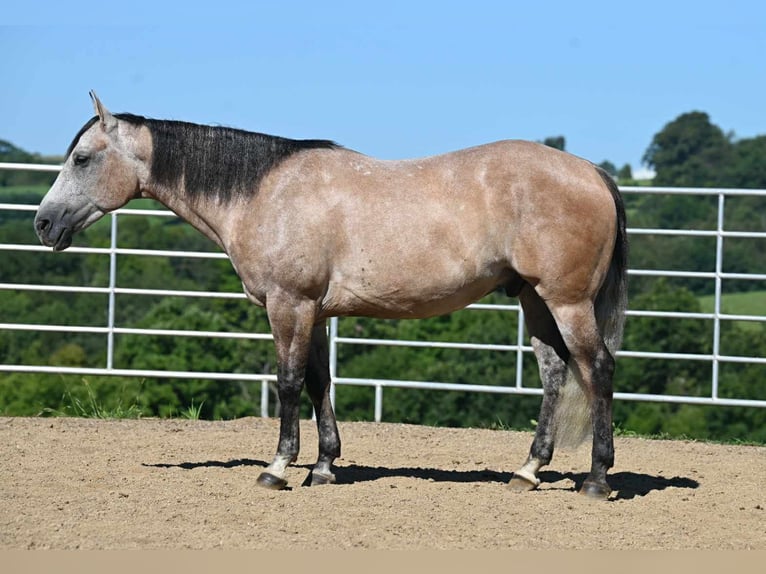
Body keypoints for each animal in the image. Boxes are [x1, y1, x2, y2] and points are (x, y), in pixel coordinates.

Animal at [33, 93, 628, 500]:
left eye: (81, 158)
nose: (43, 223)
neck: (264, 193)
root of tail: (592, 172)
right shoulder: (314, 313)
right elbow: (320, 382)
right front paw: (323, 467)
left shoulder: (288, 305)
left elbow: (289, 383)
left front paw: (277, 469)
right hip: (534, 300)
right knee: (555, 374)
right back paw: (527, 472)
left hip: (566, 301)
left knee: (597, 368)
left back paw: (597, 480)